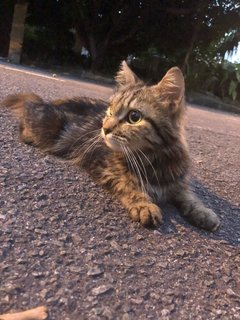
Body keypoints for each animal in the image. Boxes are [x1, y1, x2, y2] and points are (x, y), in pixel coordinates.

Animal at [1, 61, 220, 230]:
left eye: (134, 117)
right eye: (110, 110)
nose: (104, 128)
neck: (154, 158)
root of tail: (46, 102)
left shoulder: (179, 181)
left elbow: (190, 196)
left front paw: (204, 212)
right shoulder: (104, 167)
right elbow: (129, 185)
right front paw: (144, 205)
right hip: (48, 128)